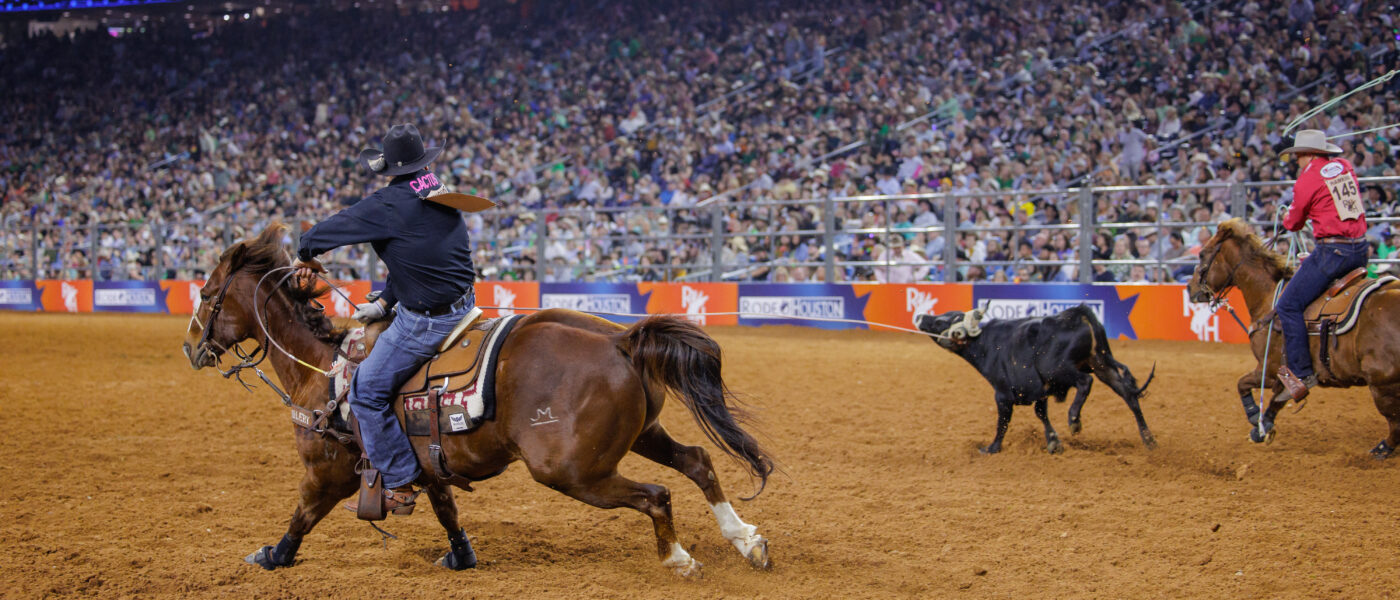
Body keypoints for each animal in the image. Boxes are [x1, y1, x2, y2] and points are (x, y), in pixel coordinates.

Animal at [177, 223, 778, 576]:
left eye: (205, 294)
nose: (190, 347)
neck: (324, 370)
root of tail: (620, 340)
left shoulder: (327, 472)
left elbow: (301, 516)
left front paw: (272, 556)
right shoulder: (426, 465)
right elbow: (447, 510)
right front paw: (460, 555)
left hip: (572, 471)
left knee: (657, 495)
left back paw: (679, 558)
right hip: (640, 433)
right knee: (697, 463)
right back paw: (746, 540)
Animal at [1187, 216, 1400, 455]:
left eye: (1202, 254)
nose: (1189, 288)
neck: (1267, 295)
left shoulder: (1269, 369)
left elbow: (1242, 384)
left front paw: (1254, 417)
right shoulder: (1282, 377)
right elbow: (1277, 400)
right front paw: (1263, 426)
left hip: (1382, 384)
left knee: (1395, 423)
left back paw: (1382, 449)